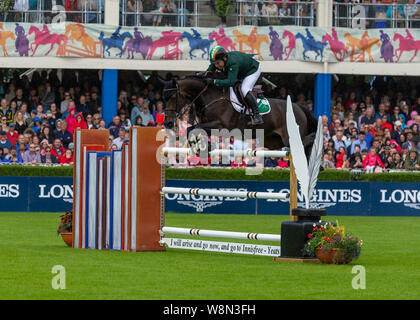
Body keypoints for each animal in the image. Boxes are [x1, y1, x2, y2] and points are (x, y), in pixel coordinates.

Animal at [164, 76, 318, 159]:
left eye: (173, 97)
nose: (168, 123)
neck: (211, 98)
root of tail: (298, 107)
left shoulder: (221, 126)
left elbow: (193, 129)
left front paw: (204, 147)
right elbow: (191, 130)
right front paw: (203, 147)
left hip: (288, 137)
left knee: (304, 142)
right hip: (274, 141)